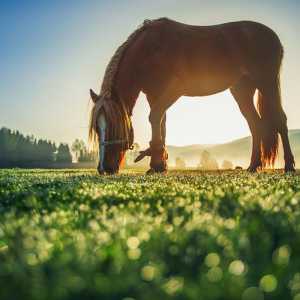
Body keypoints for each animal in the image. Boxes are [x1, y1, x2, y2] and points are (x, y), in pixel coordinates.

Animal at [89, 17, 296, 175]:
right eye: (97, 129)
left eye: (114, 127)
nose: (103, 169)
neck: (150, 50)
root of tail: (272, 36)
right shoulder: (154, 95)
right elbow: (160, 123)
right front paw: (159, 164)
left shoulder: (173, 90)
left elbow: (155, 117)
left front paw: (157, 164)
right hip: (242, 90)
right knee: (255, 125)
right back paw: (254, 165)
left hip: (267, 83)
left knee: (280, 120)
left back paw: (289, 165)